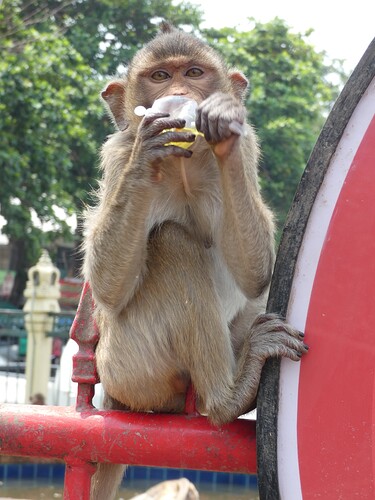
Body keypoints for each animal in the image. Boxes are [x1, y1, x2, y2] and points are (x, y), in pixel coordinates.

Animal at [82, 21, 308, 498]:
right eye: (160, 77)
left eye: (194, 72)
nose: (181, 92)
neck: (184, 163)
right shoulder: (116, 153)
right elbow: (109, 290)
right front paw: (148, 147)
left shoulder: (251, 145)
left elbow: (255, 274)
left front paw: (223, 126)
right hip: (130, 366)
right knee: (172, 241)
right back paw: (228, 398)